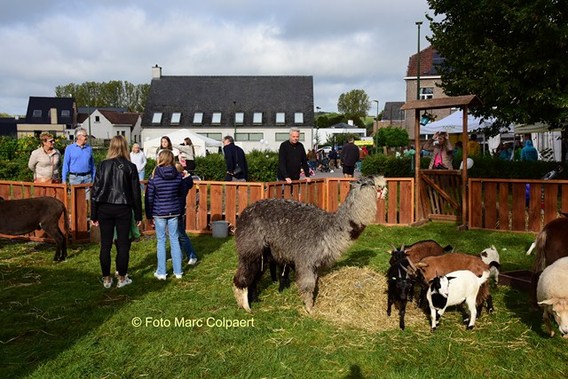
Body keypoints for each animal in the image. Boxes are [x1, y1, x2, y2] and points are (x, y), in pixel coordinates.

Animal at [231, 177, 386, 314]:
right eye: (378, 186)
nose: (385, 192)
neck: (330, 228)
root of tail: (242, 214)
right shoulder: (306, 259)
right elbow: (308, 285)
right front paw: (310, 309)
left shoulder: (315, 262)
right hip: (251, 245)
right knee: (242, 275)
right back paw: (245, 306)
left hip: (266, 251)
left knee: (254, 274)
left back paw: (254, 300)